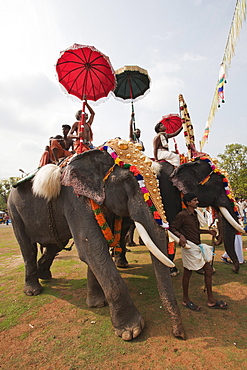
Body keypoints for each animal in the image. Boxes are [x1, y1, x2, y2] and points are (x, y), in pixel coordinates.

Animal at [8, 145, 185, 342]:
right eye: (128, 181)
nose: (179, 334)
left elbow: (98, 248)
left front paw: (97, 304)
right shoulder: (74, 198)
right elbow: (90, 246)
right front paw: (130, 331)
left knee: (56, 245)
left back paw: (44, 275)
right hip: (14, 212)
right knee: (28, 248)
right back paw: (33, 291)